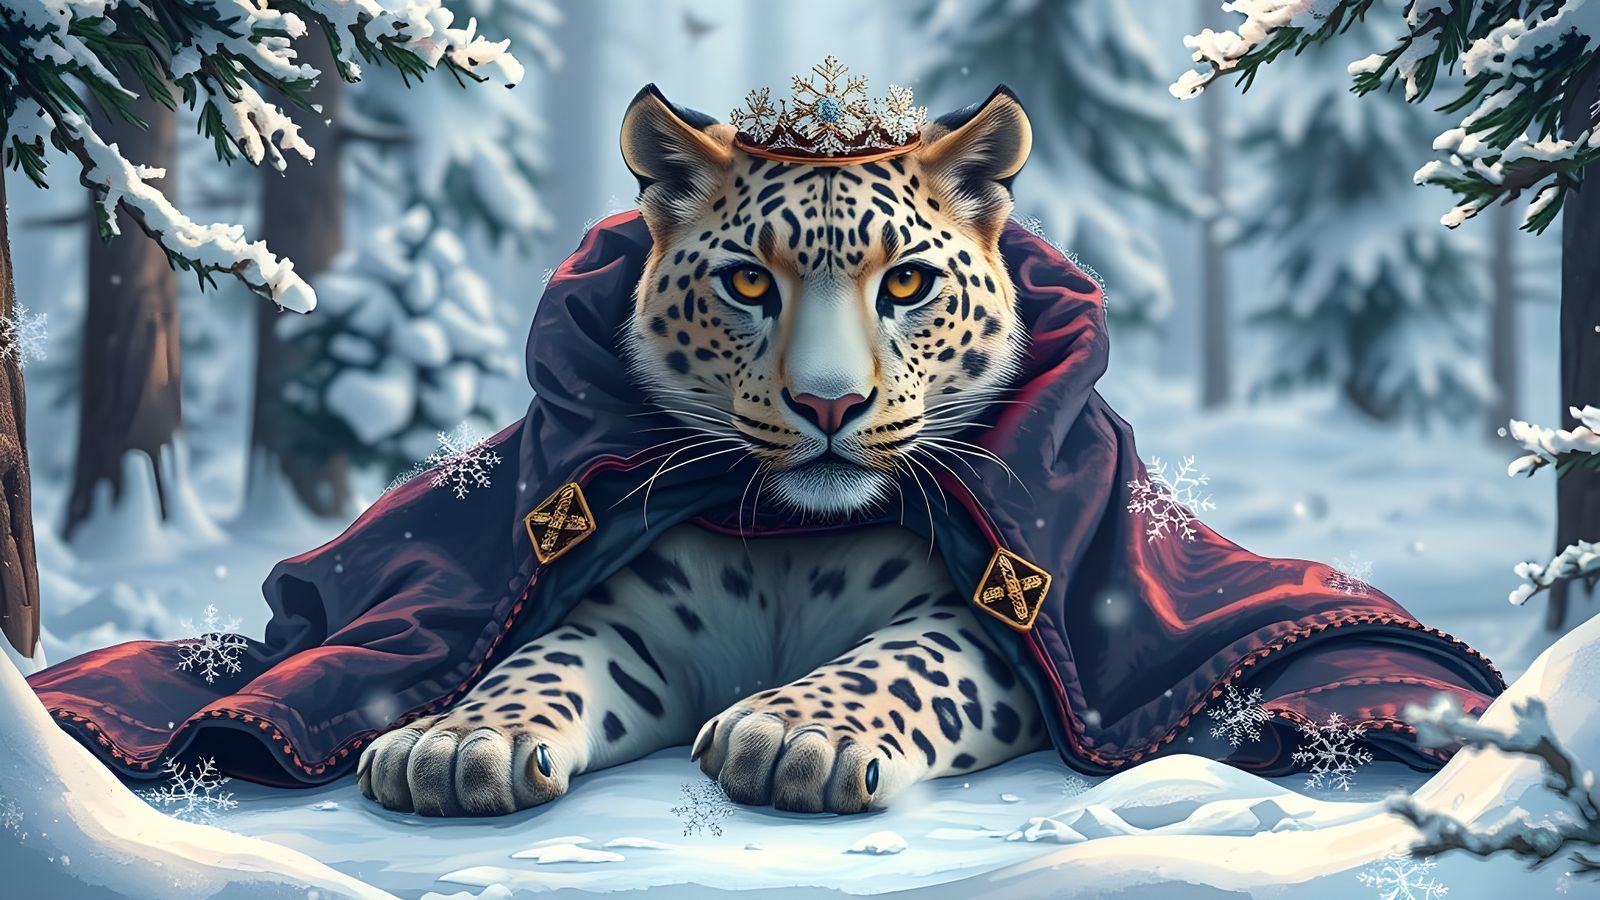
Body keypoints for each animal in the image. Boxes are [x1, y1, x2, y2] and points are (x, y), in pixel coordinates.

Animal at [358, 81, 1050, 817]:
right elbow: (542, 660)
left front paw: (797, 733)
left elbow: (905, 661)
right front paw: (455, 741)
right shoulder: (631, 625)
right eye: (747, 283)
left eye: (907, 283)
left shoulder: (984, 622)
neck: (789, 544)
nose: (828, 403)